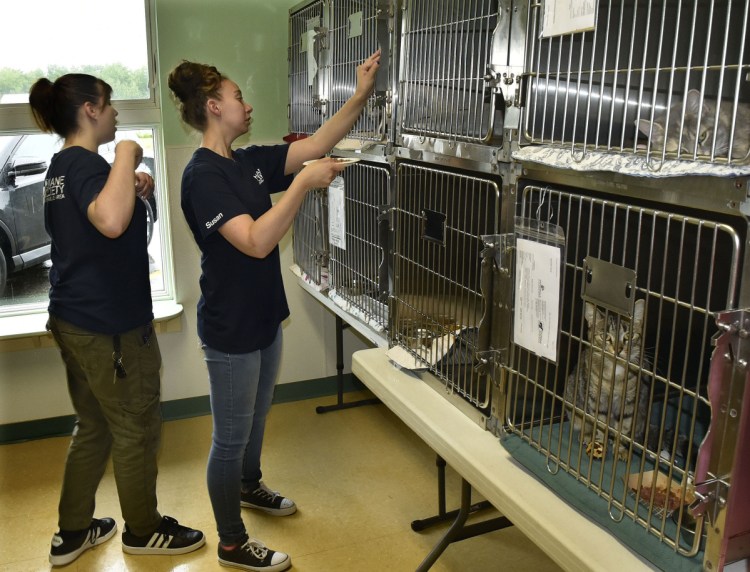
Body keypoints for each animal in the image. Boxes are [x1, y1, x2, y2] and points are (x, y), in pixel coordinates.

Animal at [564, 300, 652, 460]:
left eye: (629, 335)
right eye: (605, 336)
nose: (618, 349)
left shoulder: (628, 402)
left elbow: (623, 428)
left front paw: (621, 449)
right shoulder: (597, 398)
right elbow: (600, 424)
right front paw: (599, 443)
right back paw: (587, 435)